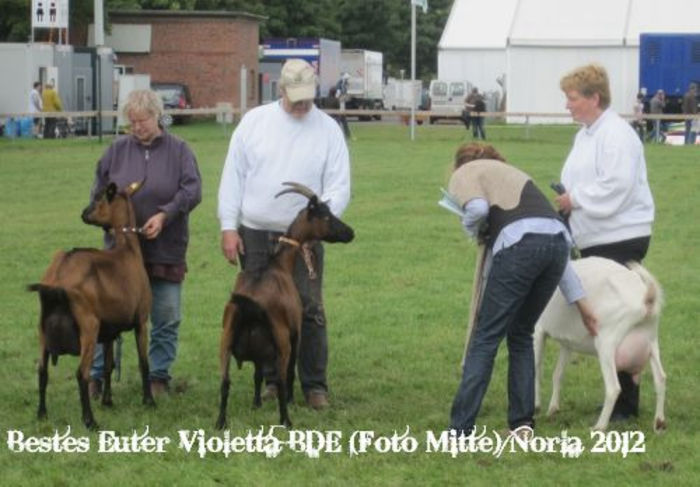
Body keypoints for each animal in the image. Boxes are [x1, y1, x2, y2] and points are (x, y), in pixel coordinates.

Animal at [29, 181, 154, 428]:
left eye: (99, 198)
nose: (84, 213)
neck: (127, 251)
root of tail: (58, 277)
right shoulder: (141, 320)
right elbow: (144, 362)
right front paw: (149, 401)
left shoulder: (109, 331)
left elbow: (108, 366)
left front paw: (107, 401)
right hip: (88, 325)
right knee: (81, 374)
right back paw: (89, 421)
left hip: (42, 328)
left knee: (42, 371)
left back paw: (42, 414)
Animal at [216, 182, 352, 428]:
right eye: (326, 216)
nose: (350, 233)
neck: (277, 265)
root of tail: (248, 305)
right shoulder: (295, 331)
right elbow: (289, 374)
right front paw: (288, 400)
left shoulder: (259, 352)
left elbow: (257, 374)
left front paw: (256, 404)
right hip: (281, 340)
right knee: (281, 378)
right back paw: (286, 420)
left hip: (225, 340)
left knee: (225, 383)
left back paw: (220, 423)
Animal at [536, 258, 668, 432]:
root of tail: (646, 297)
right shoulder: (568, 344)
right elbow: (558, 374)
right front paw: (553, 409)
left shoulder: (537, 329)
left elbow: (536, 370)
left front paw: (536, 406)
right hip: (651, 340)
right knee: (660, 378)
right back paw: (659, 423)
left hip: (606, 342)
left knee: (613, 388)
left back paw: (599, 426)